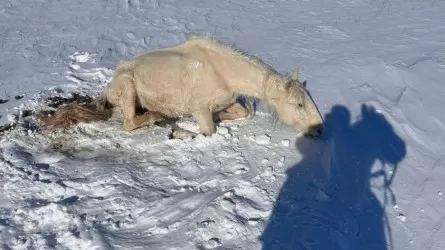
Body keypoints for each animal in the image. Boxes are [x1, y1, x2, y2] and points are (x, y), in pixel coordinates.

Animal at [37, 35, 322, 137]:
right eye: (299, 104)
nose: (320, 129)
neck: (222, 71)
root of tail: (109, 87)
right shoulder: (200, 110)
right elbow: (208, 131)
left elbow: (242, 112)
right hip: (128, 89)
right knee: (129, 123)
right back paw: (156, 116)